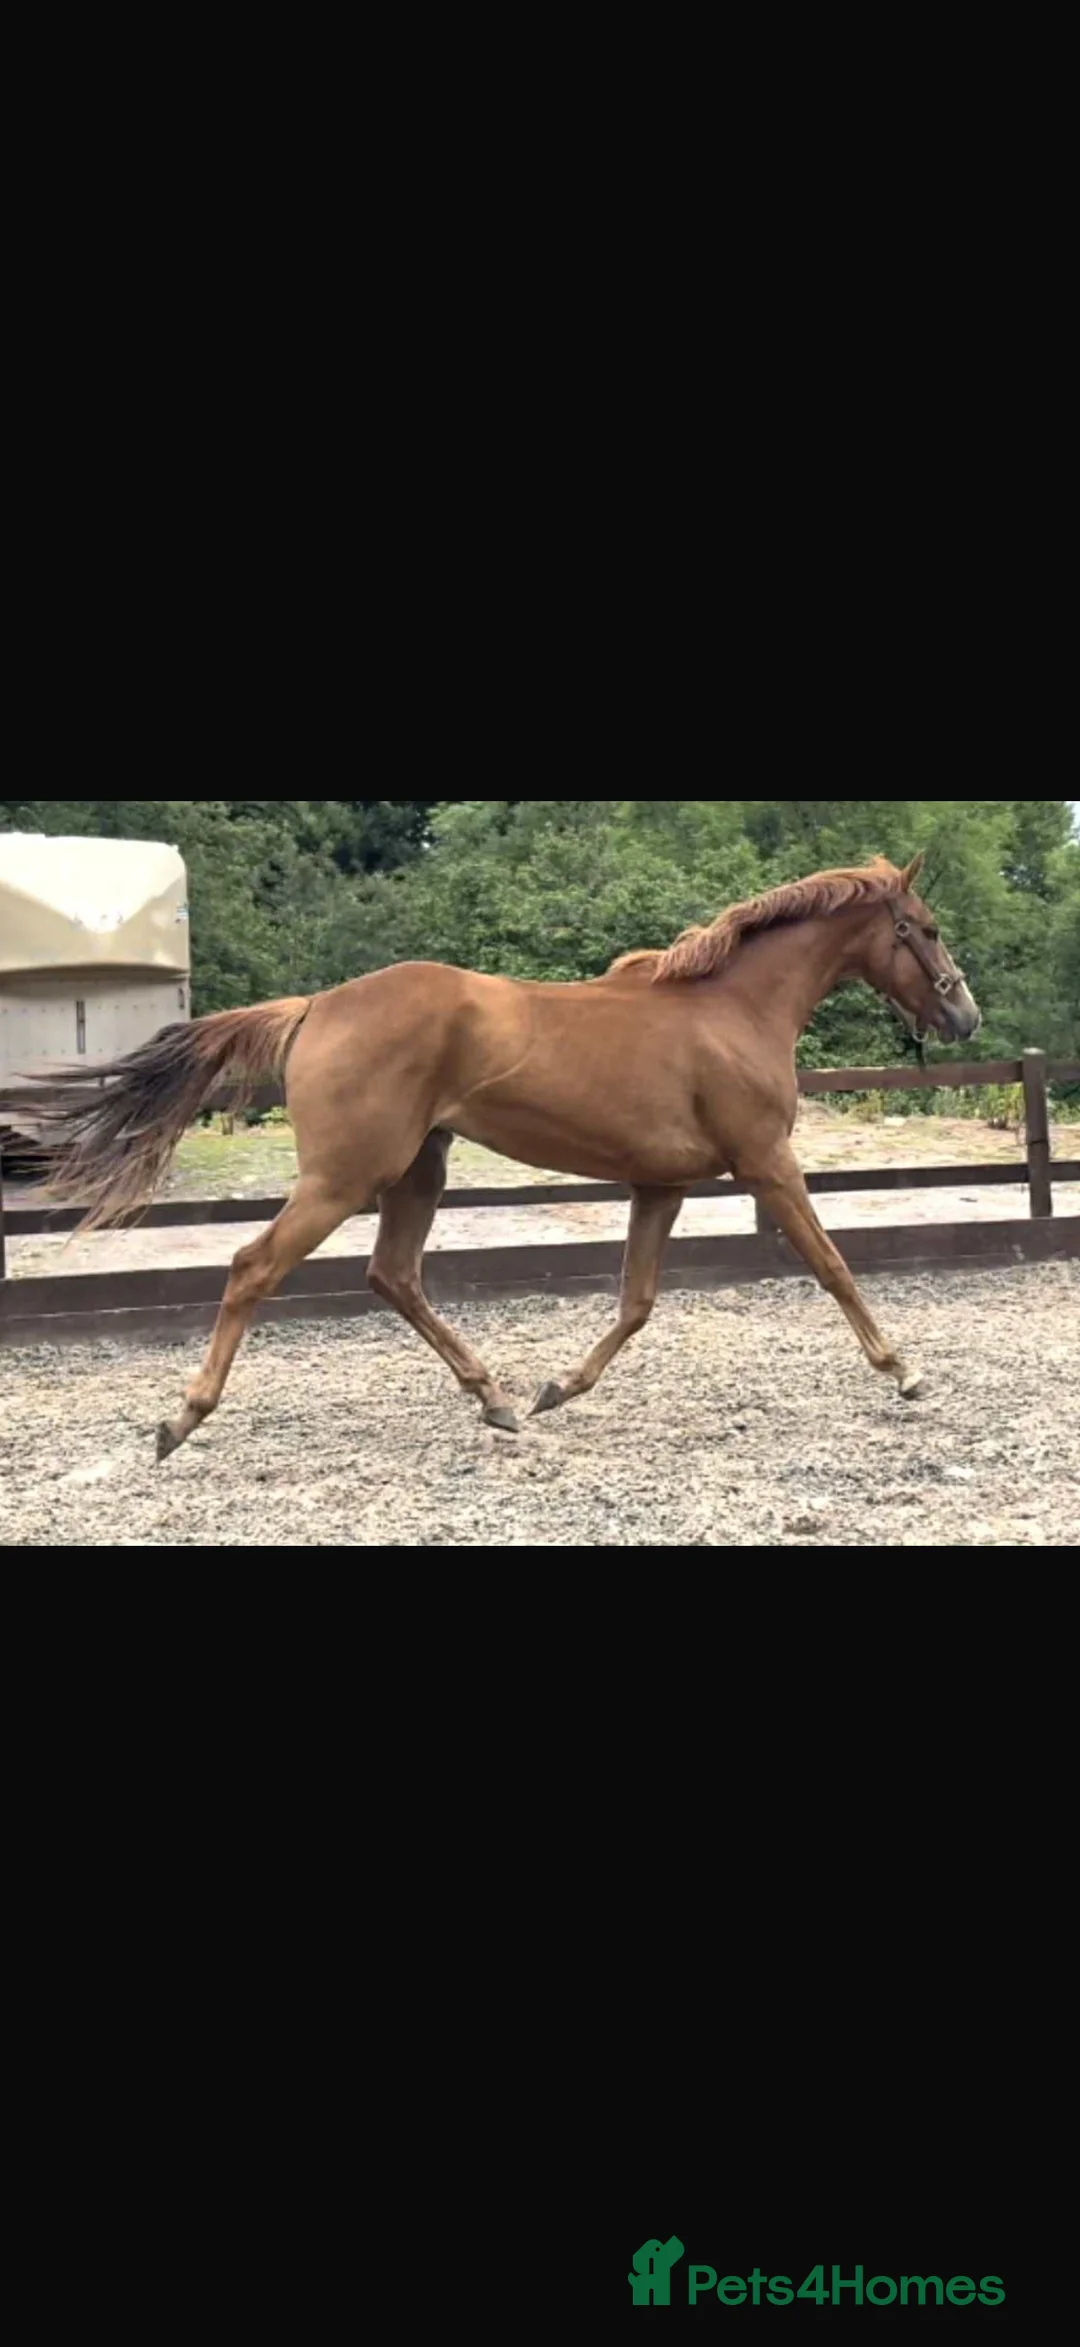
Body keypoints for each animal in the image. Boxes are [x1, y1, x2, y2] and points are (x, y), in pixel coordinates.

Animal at [33, 852, 981, 1459]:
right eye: (925, 928)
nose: (965, 1017)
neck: (730, 1009)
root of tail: (316, 1006)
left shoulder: (661, 1185)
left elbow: (636, 1302)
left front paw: (557, 1388)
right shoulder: (766, 1164)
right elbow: (832, 1264)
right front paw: (905, 1373)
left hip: (418, 1170)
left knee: (394, 1274)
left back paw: (495, 1401)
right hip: (344, 1178)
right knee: (253, 1266)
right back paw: (181, 1421)